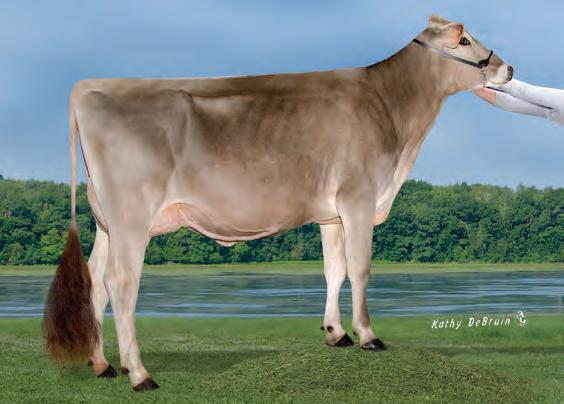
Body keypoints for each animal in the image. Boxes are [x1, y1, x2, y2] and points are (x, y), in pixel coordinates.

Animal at [43, 14, 512, 391]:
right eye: (464, 40)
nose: (508, 68)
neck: (391, 109)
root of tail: (90, 86)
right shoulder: (359, 199)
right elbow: (360, 268)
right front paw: (367, 336)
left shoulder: (332, 213)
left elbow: (334, 269)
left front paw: (335, 333)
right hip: (131, 218)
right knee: (121, 284)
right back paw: (139, 374)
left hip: (107, 222)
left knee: (94, 280)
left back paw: (102, 364)